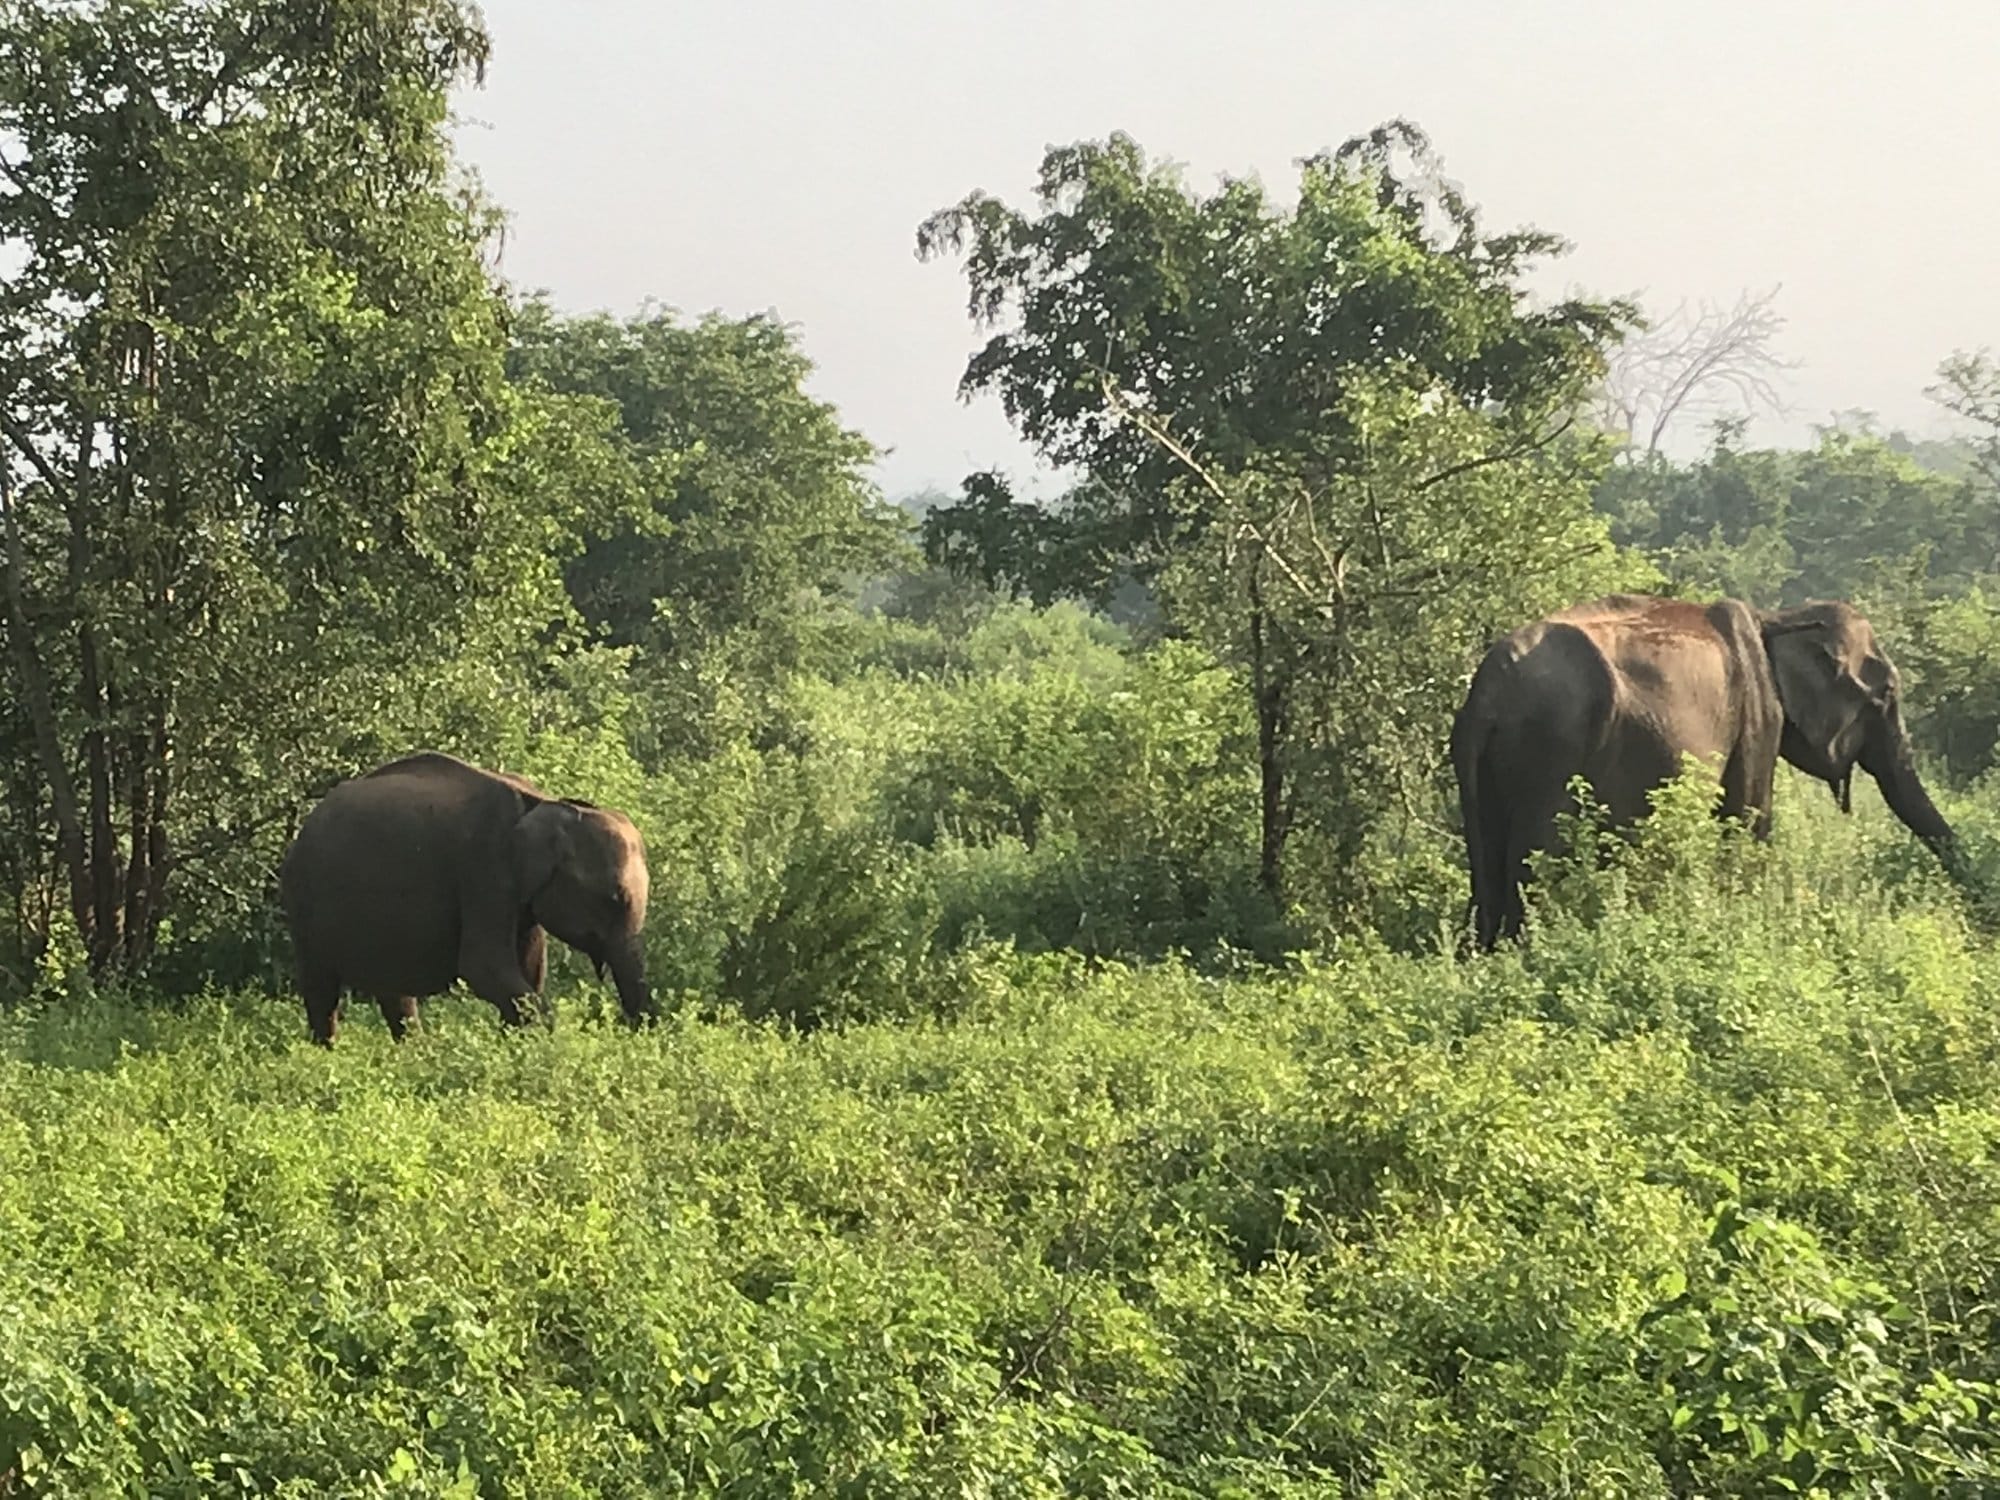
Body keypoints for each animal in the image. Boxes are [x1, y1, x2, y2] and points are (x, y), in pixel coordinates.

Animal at [279, 751, 655, 1044]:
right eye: (612, 899)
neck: (542, 802)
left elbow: (530, 968)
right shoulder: (483, 866)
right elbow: (483, 966)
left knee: (393, 990)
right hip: (305, 901)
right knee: (321, 988)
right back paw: (325, 1053)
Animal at [1450, 593, 1961, 951]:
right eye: (1886, 693)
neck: (1775, 619)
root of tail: (1487, 693)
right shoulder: (1757, 712)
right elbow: (1747, 821)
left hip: (1480, 765)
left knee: (1487, 869)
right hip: (1552, 751)